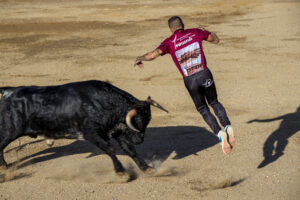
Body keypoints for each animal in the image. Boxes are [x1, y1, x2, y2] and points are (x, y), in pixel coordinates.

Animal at [0, 79, 168, 177]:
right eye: (137, 121)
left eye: (147, 120)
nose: (140, 140)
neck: (104, 101)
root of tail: (9, 91)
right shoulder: (92, 133)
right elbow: (110, 149)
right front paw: (121, 172)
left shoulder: (118, 132)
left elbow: (130, 150)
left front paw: (147, 168)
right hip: (10, 131)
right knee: (0, 145)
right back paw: (3, 166)